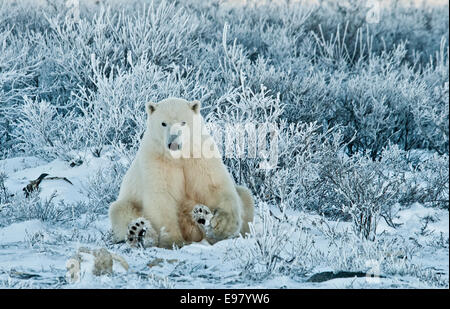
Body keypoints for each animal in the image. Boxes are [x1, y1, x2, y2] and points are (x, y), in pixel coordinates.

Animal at [108, 97, 253, 248]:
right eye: (163, 123)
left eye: (183, 122)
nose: (173, 143)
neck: (179, 157)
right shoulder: (157, 160)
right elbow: (161, 196)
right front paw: (172, 240)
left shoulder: (200, 155)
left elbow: (213, 186)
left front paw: (223, 225)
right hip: (128, 202)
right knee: (121, 209)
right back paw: (139, 231)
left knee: (245, 194)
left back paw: (203, 217)